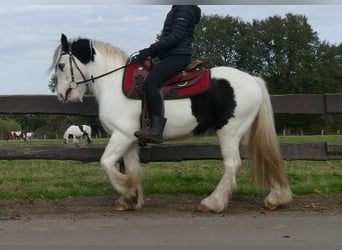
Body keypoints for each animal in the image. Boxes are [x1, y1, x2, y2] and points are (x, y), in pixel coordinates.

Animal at [50, 33, 292, 213]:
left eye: (61, 65)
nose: (61, 95)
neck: (114, 84)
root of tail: (253, 80)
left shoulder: (121, 135)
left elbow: (106, 163)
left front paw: (128, 191)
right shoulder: (130, 140)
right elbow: (132, 168)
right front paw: (132, 197)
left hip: (229, 133)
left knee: (232, 165)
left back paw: (213, 203)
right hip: (247, 133)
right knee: (267, 157)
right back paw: (276, 198)